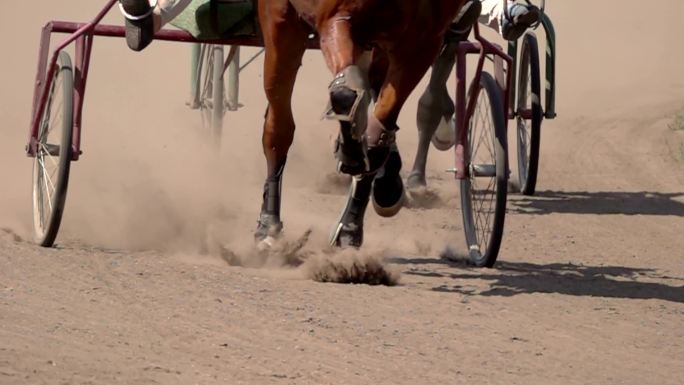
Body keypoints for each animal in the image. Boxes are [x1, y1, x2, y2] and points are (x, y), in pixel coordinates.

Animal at [254, 0, 468, 248]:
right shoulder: (337, 19)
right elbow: (345, 93)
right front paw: (351, 152)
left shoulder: (422, 41)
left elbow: (378, 135)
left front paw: (350, 226)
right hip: (282, 22)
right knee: (279, 127)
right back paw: (269, 224)